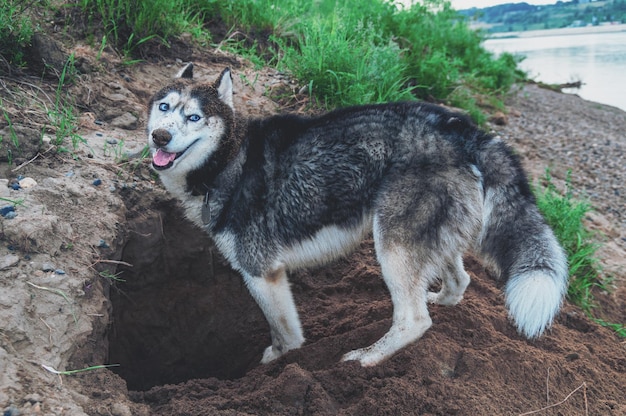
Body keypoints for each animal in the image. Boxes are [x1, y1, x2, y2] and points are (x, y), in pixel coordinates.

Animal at [147, 63, 564, 366]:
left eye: (195, 117)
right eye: (164, 108)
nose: (159, 137)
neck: (229, 159)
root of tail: (462, 129)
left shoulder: (261, 273)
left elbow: (285, 334)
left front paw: (278, 364)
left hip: (392, 247)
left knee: (413, 320)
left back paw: (365, 359)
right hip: (429, 238)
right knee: (460, 282)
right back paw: (440, 300)